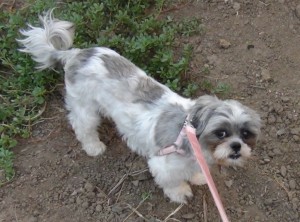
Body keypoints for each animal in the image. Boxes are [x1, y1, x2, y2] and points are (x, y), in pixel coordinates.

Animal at [18, 11, 262, 204]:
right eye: (221, 133)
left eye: (246, 134)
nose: (236, 146)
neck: (191, 137)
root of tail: (76, 53)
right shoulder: (163, 164)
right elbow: (172, 181)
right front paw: (181, 192)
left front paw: (198, 177)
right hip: (84, 107)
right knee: (82, 126)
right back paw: (93, 146)